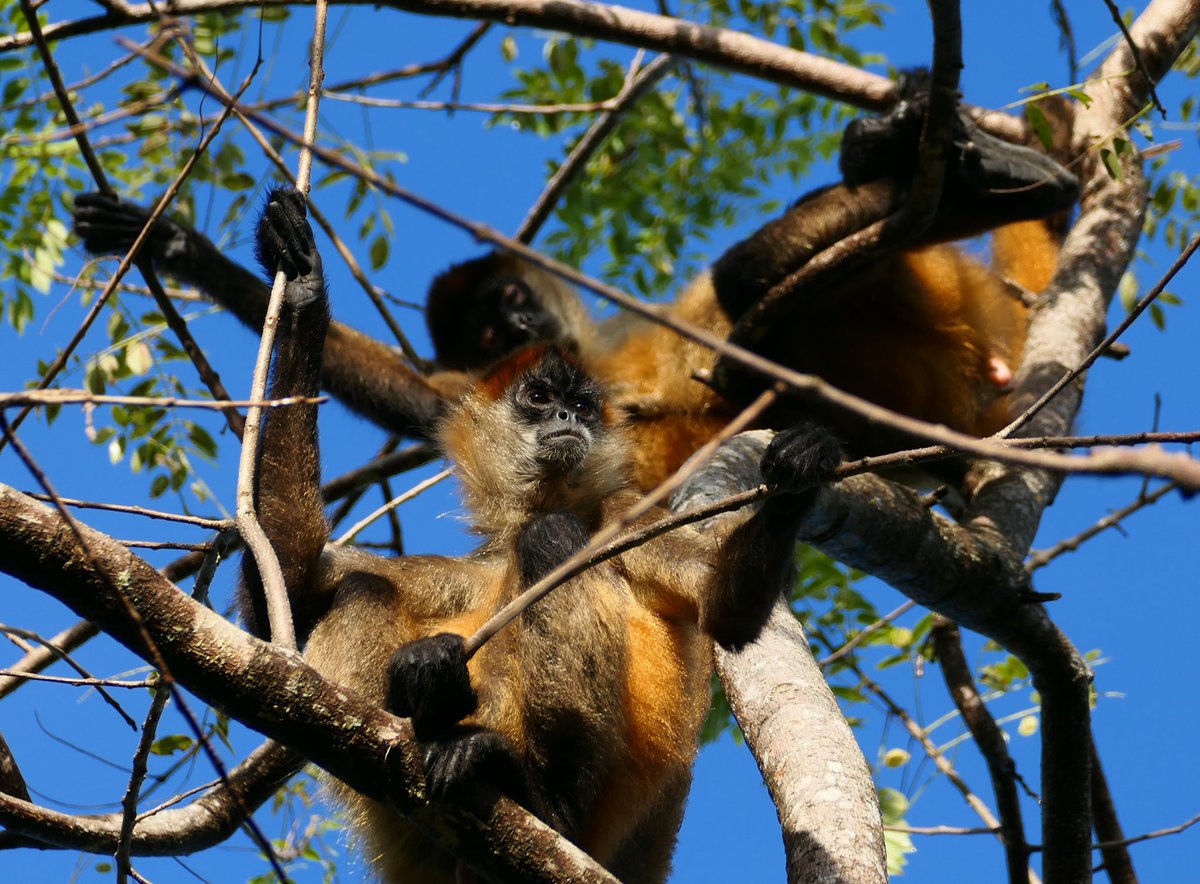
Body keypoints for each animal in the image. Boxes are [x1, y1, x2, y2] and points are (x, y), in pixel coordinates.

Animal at [72, 91, 1078, 490]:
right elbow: (419, 399)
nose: (524, 323)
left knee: (750, 281)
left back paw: (988, 172)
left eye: (515, 304)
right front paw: (195, 252)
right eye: (490, 337)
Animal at [248, 186, 843, 882]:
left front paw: (800, 474)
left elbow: (728, 611)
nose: (566, 415)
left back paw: (535, 796)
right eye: (538, 398)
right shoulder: (477, 556)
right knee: (366, 587)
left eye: (581, 407)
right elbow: (286, 588)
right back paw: (432, 700)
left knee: (549, 542)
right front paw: (302, 290)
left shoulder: (625, 514)